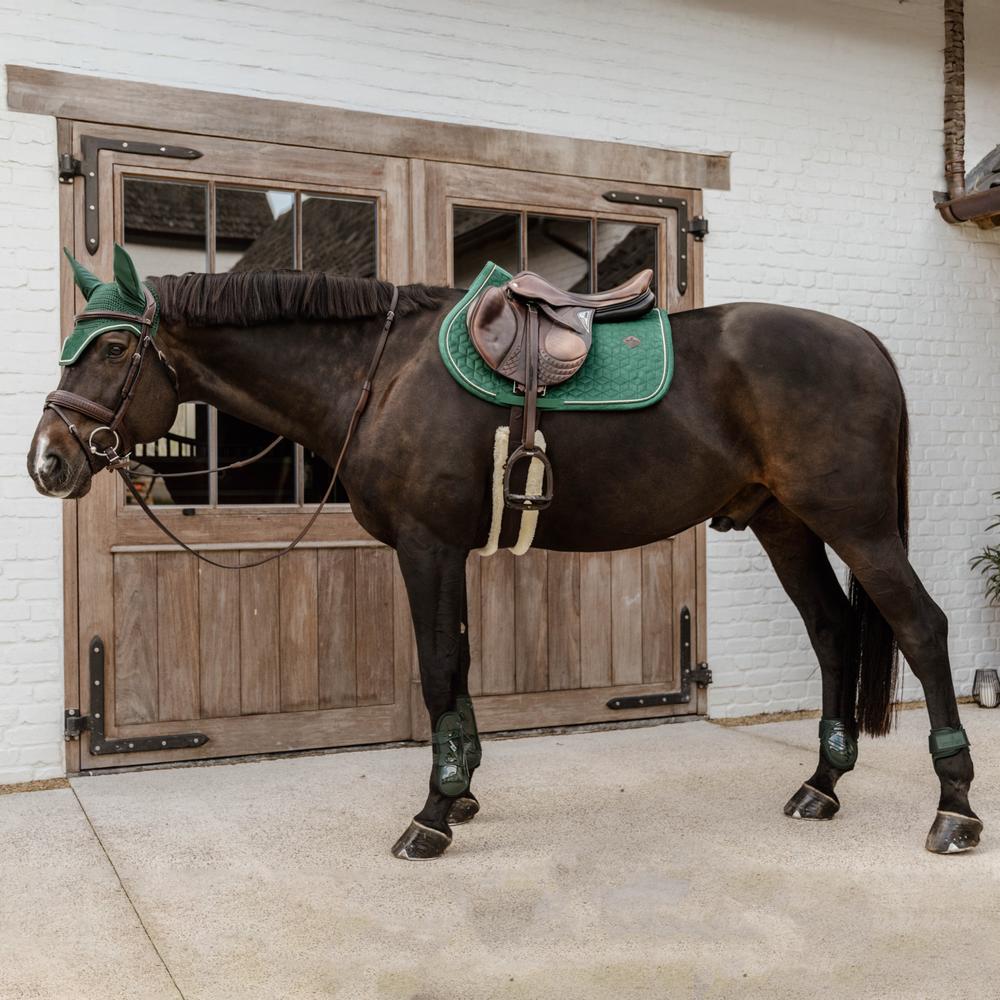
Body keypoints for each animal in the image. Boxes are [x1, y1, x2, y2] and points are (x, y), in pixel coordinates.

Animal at [27, 246, 981, 859]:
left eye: (111, 346)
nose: (49, 461)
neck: (384, 375)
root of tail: (866, 344)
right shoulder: (445, 552)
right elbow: (458, 666)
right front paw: (463, 791)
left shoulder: (426, 547)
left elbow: (437, 669)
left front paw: (432, 815)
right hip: (786, 523)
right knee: (833, 632)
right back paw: (822, 786)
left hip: (856, 523)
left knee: (922, 627)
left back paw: (955, 807)